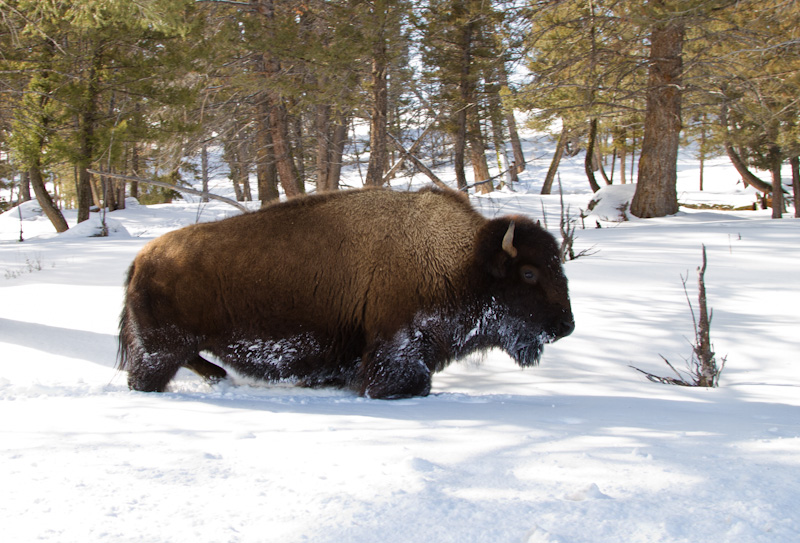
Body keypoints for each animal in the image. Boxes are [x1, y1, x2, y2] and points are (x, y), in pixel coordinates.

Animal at [119, 187, 572, 400]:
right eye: (529, 273)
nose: (566, 327)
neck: (459, 260)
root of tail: (141, 260)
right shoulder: (398, 341)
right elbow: (407, 382)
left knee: (193, 362)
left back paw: (220, 377)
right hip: (160, 350)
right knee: (150, 376)